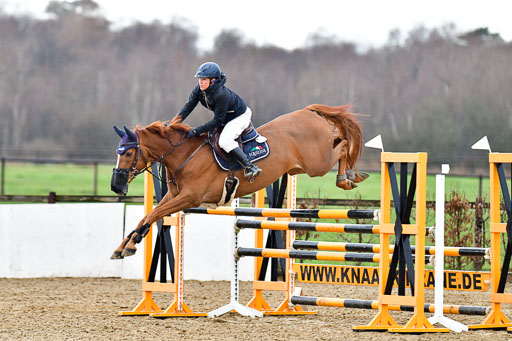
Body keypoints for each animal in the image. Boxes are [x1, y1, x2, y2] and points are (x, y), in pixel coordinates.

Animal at [112, 103, 368, 258]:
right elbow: (150, 215)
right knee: (340, 140)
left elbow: (154, 214)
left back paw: (348, 178)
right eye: (118, 151)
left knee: (344, 144)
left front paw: (130, 245)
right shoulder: (174, 195)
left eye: (128, 153)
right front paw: (124, 246)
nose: (116, 186)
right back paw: (351, 175)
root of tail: (307, 111)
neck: (185, 154)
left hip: (317, 163)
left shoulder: (189, 198)